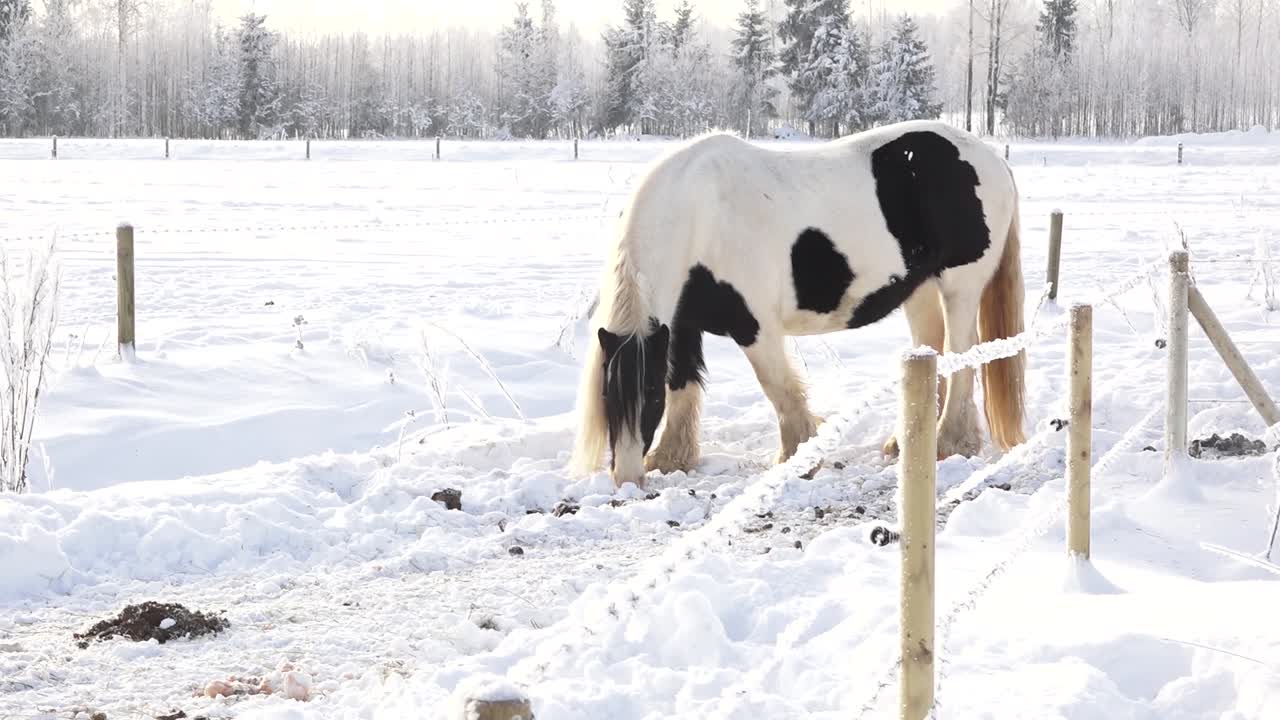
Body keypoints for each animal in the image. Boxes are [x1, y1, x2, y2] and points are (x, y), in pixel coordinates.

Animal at [568, 119, 1027, 489]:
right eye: (607, 394)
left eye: (647, 395)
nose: (626, 479)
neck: (698, 217)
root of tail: (991, 158)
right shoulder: (680, 324)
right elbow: (682, 383)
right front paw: (670, 458)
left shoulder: (754, 325)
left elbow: (778, 387)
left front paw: (799, 457)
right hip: (920, 289)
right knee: (932, 351)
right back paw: (908, 440)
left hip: (961, 287)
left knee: (962, 353)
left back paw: (950, 442)